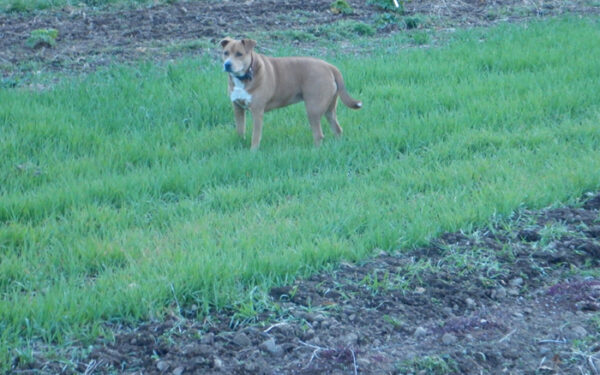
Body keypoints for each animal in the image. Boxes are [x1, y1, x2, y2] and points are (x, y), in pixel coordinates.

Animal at [220, 37, 360, 151]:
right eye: (225, 53)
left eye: (239, 54)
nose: (227, 64)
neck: (245, 76)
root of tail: (330, 67)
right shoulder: (237, 108)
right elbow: (240, 130)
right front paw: (240, 144)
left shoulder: (257, 111)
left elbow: (255, 135)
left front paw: (253, 152)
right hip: (329, 108)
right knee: (337, 129)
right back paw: (338, 146)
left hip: (313, 109)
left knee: (319, 134)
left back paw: (315, 151)